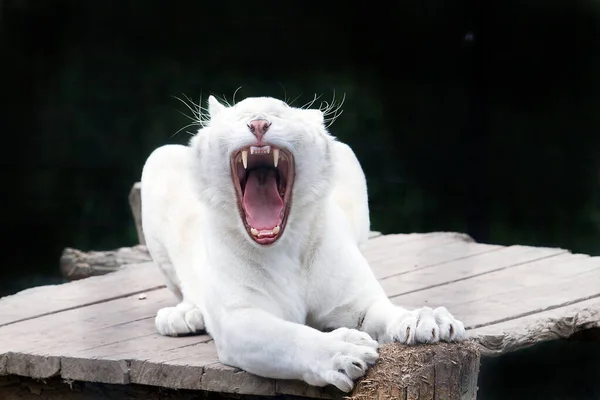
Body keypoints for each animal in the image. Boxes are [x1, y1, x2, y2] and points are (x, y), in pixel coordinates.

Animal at [142, 95, 468, 392]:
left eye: (279, 114)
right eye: (240, 117)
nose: (258, 124)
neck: (284, 248)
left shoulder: (356, 302)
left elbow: (387, 311)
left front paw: (430, 321)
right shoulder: (238, 317)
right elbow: (288, 339)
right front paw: (345, 352)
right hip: (158, 158)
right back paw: (182, 315)